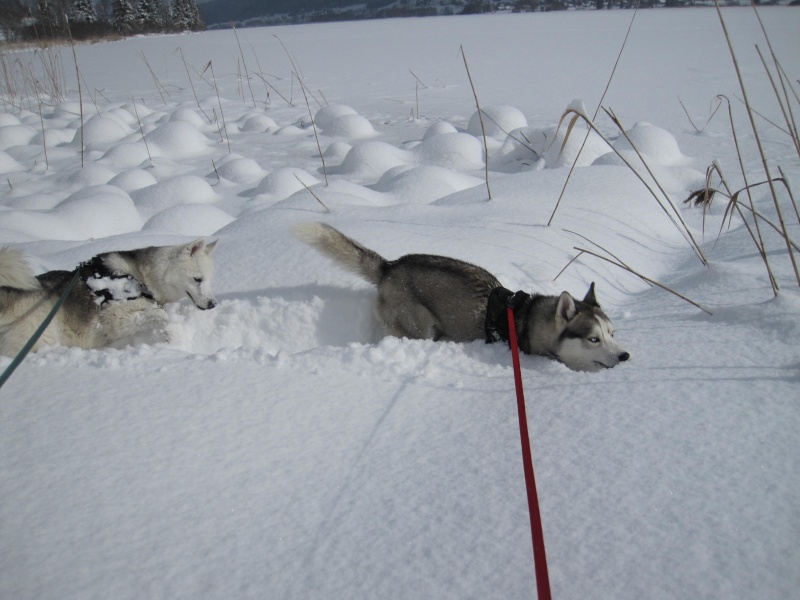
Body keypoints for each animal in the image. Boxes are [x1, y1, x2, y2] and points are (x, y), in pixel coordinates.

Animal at [0, 239, 219, 356]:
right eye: (197, 279)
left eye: (209, 280)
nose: (213, 304)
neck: (143, 277)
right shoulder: (114, 320)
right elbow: (159, 315)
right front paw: (171, 336)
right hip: (37, 338)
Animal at [296, 221, 632, 370]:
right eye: (593, 339)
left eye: (613, 334)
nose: (624, 355)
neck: (529, 319)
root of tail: (390, 266)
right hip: (417, 325)